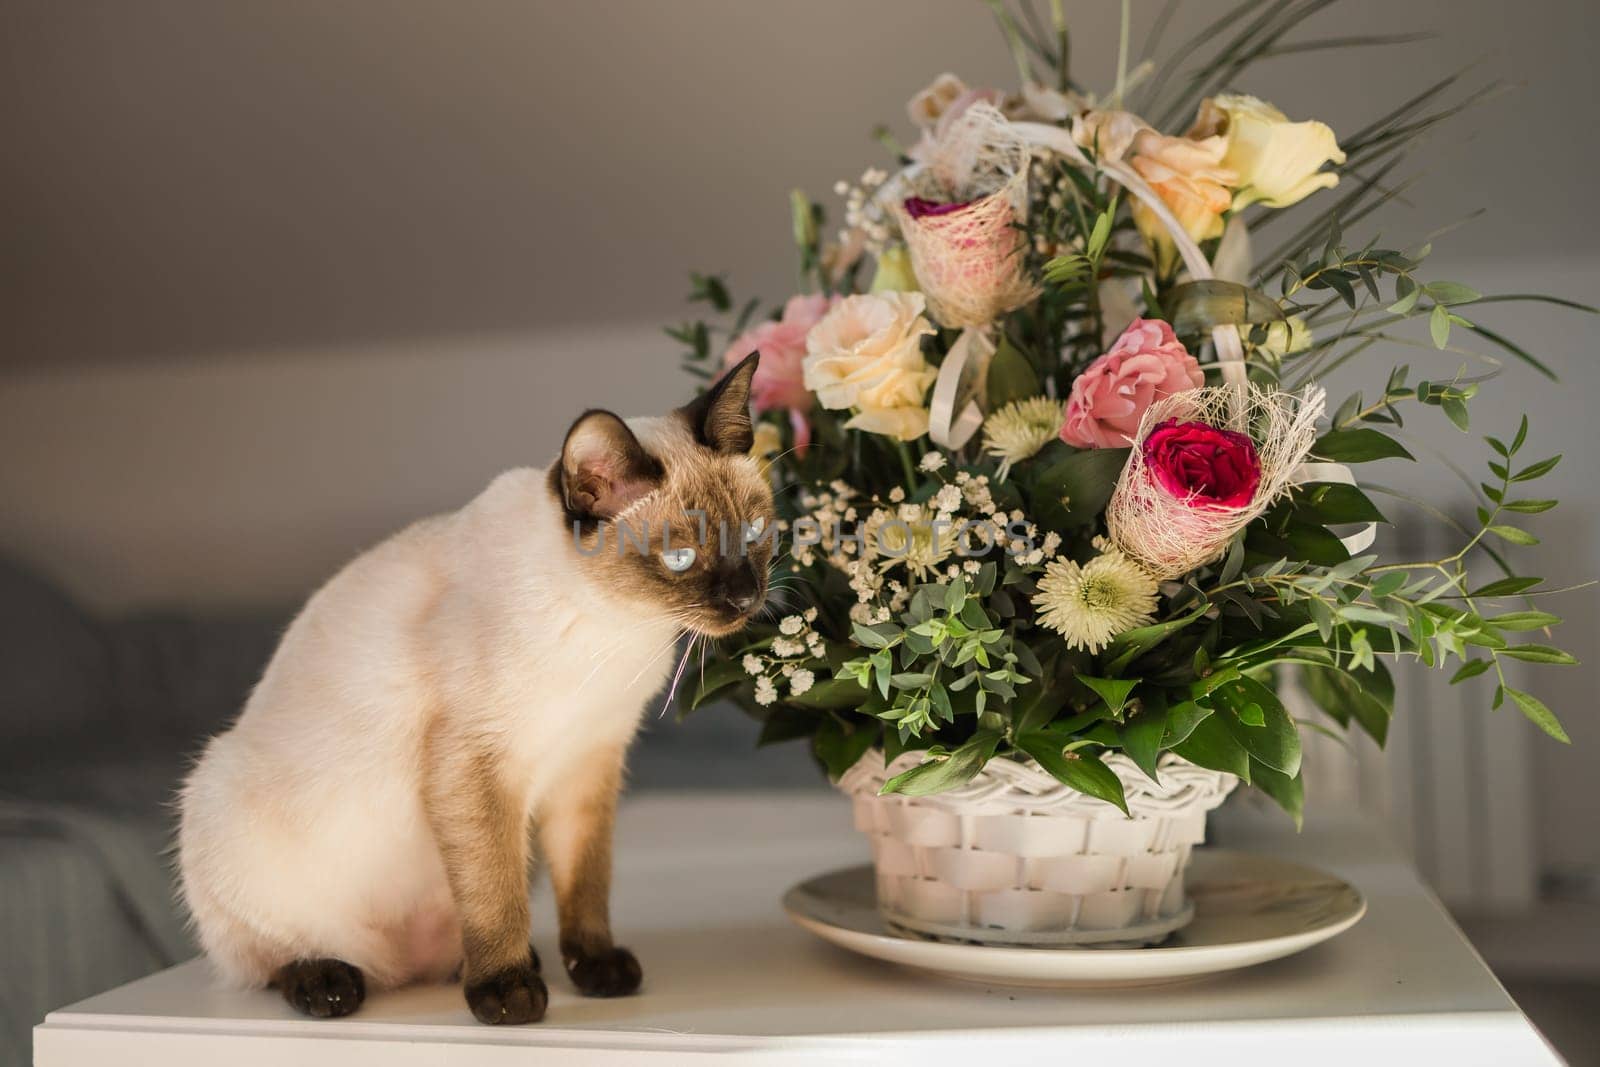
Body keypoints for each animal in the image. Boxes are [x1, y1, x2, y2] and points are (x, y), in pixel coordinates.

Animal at [178, 355, 771, 1023]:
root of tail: (399, 973)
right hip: (216, 792)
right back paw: (330, 983)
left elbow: (586, 883)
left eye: (754, 533)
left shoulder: (587, 763)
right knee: (267, 958)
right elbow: (494, 895)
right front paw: (507, 995)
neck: (617, 627)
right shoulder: (476, 767)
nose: (746, 597)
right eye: (680, 559)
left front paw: (597, 969)